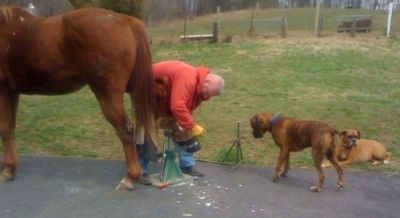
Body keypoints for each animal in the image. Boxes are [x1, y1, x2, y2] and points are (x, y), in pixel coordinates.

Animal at [0, 5, 159, 192]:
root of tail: (124, 20)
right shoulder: (12, 92)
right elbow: (10, 128)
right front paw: (11, 166)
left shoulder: (2, 91)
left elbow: (4, 129)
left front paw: (7, 170)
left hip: (108, 96)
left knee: (125, 130)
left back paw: (129, 178)